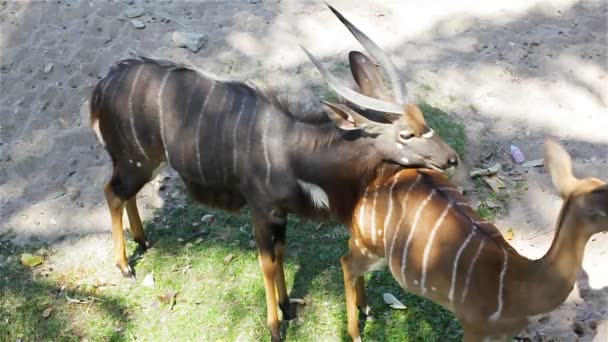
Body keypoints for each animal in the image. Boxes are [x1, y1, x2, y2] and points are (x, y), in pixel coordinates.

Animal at [86, 4, 456, 340]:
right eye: (405, 134)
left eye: (423, 118)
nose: (451, 159)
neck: (295, 153)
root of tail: (103, 86)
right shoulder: (262, 210)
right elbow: (267, 262)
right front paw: (275, 326)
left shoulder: (281, 214)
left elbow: (280, 255)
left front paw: (288, 307)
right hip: (136, 161)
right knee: (112, 193)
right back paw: (125, 267)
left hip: (141, 164)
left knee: (126, 195)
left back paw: (143, 240)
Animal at [342, 140, 608, 342]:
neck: (521, 286)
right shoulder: (473, 326)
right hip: (371, 244)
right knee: (346, 262)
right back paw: (356, 334)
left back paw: (367, 309)